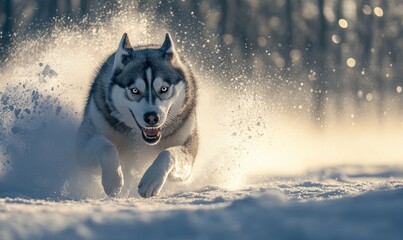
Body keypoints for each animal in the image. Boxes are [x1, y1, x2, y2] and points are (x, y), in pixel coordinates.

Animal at [76, 32, 198, 198]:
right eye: (135, 90)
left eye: (164, 88)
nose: (152, 117)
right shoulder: (82, 146)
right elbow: (107, 147)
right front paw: (113, 180)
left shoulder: (188, 151)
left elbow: (167, 153)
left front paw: (151, 180)